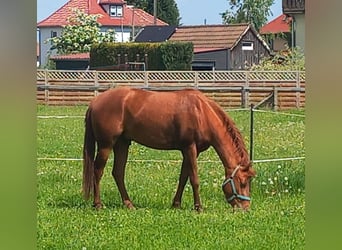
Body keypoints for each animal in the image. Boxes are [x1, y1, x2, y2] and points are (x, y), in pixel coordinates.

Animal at [82, 87, 254, 210]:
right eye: (243, 182)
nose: (245, 208)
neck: (202, 113)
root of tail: (95, 101)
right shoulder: (189, 147)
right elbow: (194, 179)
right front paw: (198, 207)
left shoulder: (190, 151)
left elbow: (184, 177)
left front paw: (176, 204)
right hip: (106, 145)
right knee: (98, 171)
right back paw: (98, 204)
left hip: (122, 144)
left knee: (118, 173)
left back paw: (129, 204)